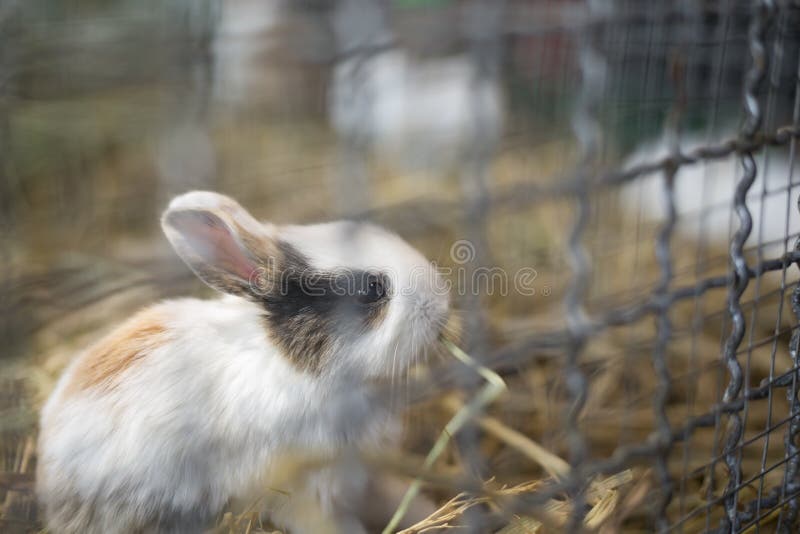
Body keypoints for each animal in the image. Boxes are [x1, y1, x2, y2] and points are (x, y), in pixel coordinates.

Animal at [36, 191, 449, 534]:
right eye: (371, 290)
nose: (441, 302)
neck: (301, 370)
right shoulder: (300, 492)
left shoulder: (366, 477)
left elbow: (400, 497)